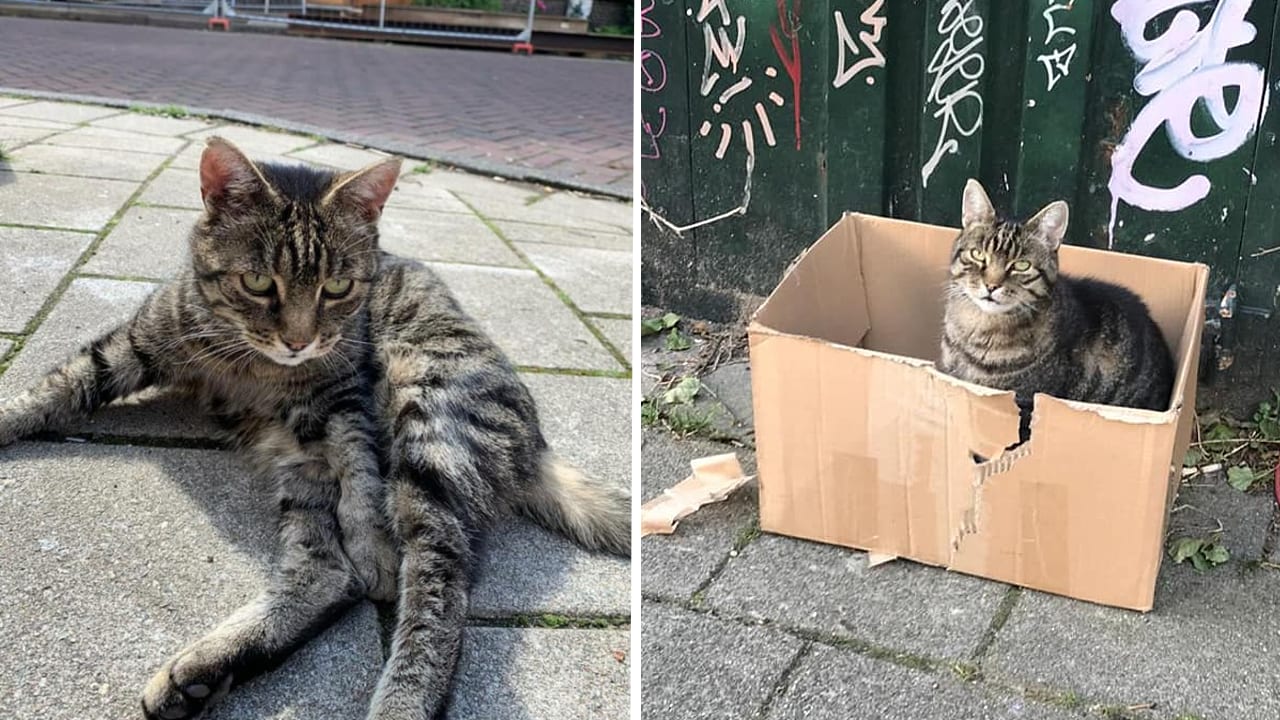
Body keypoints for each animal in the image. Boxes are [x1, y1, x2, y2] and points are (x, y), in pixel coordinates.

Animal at [0, 137, 632, 712]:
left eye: (338, 288)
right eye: (258, 283)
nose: (298, 342)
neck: (255, 367)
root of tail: (537, 444)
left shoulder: (347, 396)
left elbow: (362, 471)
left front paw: (373, 543)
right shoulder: (134, 345)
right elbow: (64, 384)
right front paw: (10, 416)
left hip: (427, 423)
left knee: (438, 584)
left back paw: (399, 696)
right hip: (303, 467)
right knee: (326, 573)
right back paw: (202, 674)